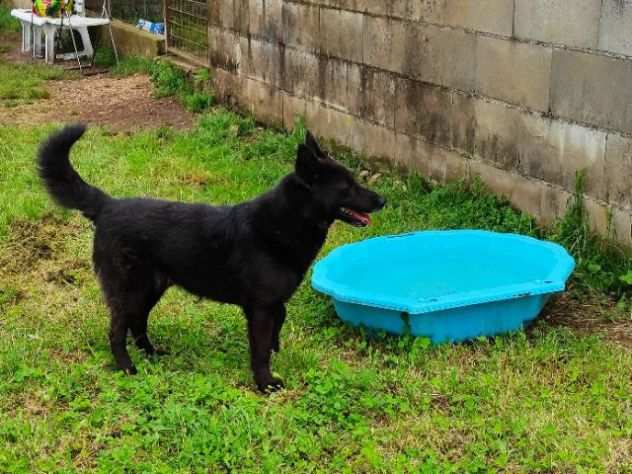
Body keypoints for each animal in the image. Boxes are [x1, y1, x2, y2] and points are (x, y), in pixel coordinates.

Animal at [40, 124, 386, 390]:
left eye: (355, 181)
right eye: (346, 187)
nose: (383, 200)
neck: (283, 222)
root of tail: (107, 206)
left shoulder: (275, 304)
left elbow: (277, 329)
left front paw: (275, 356)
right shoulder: (260, 309)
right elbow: (260, 350)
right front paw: (265, 382)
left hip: (150, 289)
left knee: (138, 323)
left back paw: (152, 354)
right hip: (129, 290)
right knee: (116, 331)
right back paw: (127, 367)